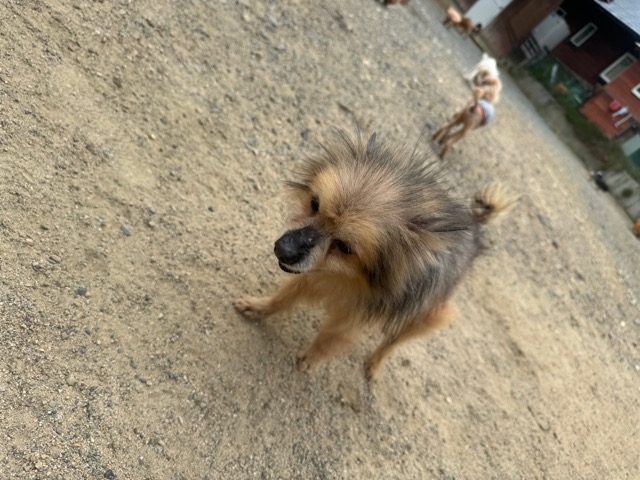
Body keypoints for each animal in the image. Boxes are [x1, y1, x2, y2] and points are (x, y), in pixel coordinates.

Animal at [234, 130, 516, 380]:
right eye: (314, 203)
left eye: (345, 247)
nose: (283, 249)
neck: (346, 277)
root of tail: (474, 222)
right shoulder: (311, 274)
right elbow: (284, 297)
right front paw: (259, 307)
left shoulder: (355, 314)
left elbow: (330, 338)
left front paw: (312, 359)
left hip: (426, 315)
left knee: (392, 343)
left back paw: (375, 364)